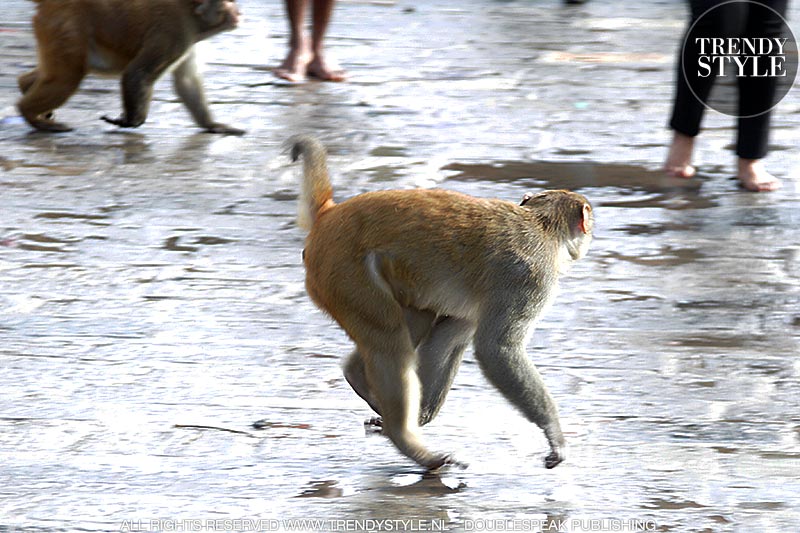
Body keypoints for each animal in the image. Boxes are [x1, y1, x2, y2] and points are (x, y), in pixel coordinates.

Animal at [18, 0, 244, 134]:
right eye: (228, 3)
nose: (238, 12)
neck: (192, 12)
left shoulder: (188, 40)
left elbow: (186, 81)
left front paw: (212, 125)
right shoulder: (176, 33)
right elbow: (138, 73)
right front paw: (131, 121)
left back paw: (26, 87)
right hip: (64, 23)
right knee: (68, 77)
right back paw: (29, 113)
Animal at [290, 135, 592, 468]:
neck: (544, 225)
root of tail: (328, 216)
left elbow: (447, 339)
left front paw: (423, 414)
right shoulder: (528, 279)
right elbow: (496, 349)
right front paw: (554, 433)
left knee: (412, 319)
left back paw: (363, 381)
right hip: (343, 272)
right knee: (390, 341)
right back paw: (409, 442)